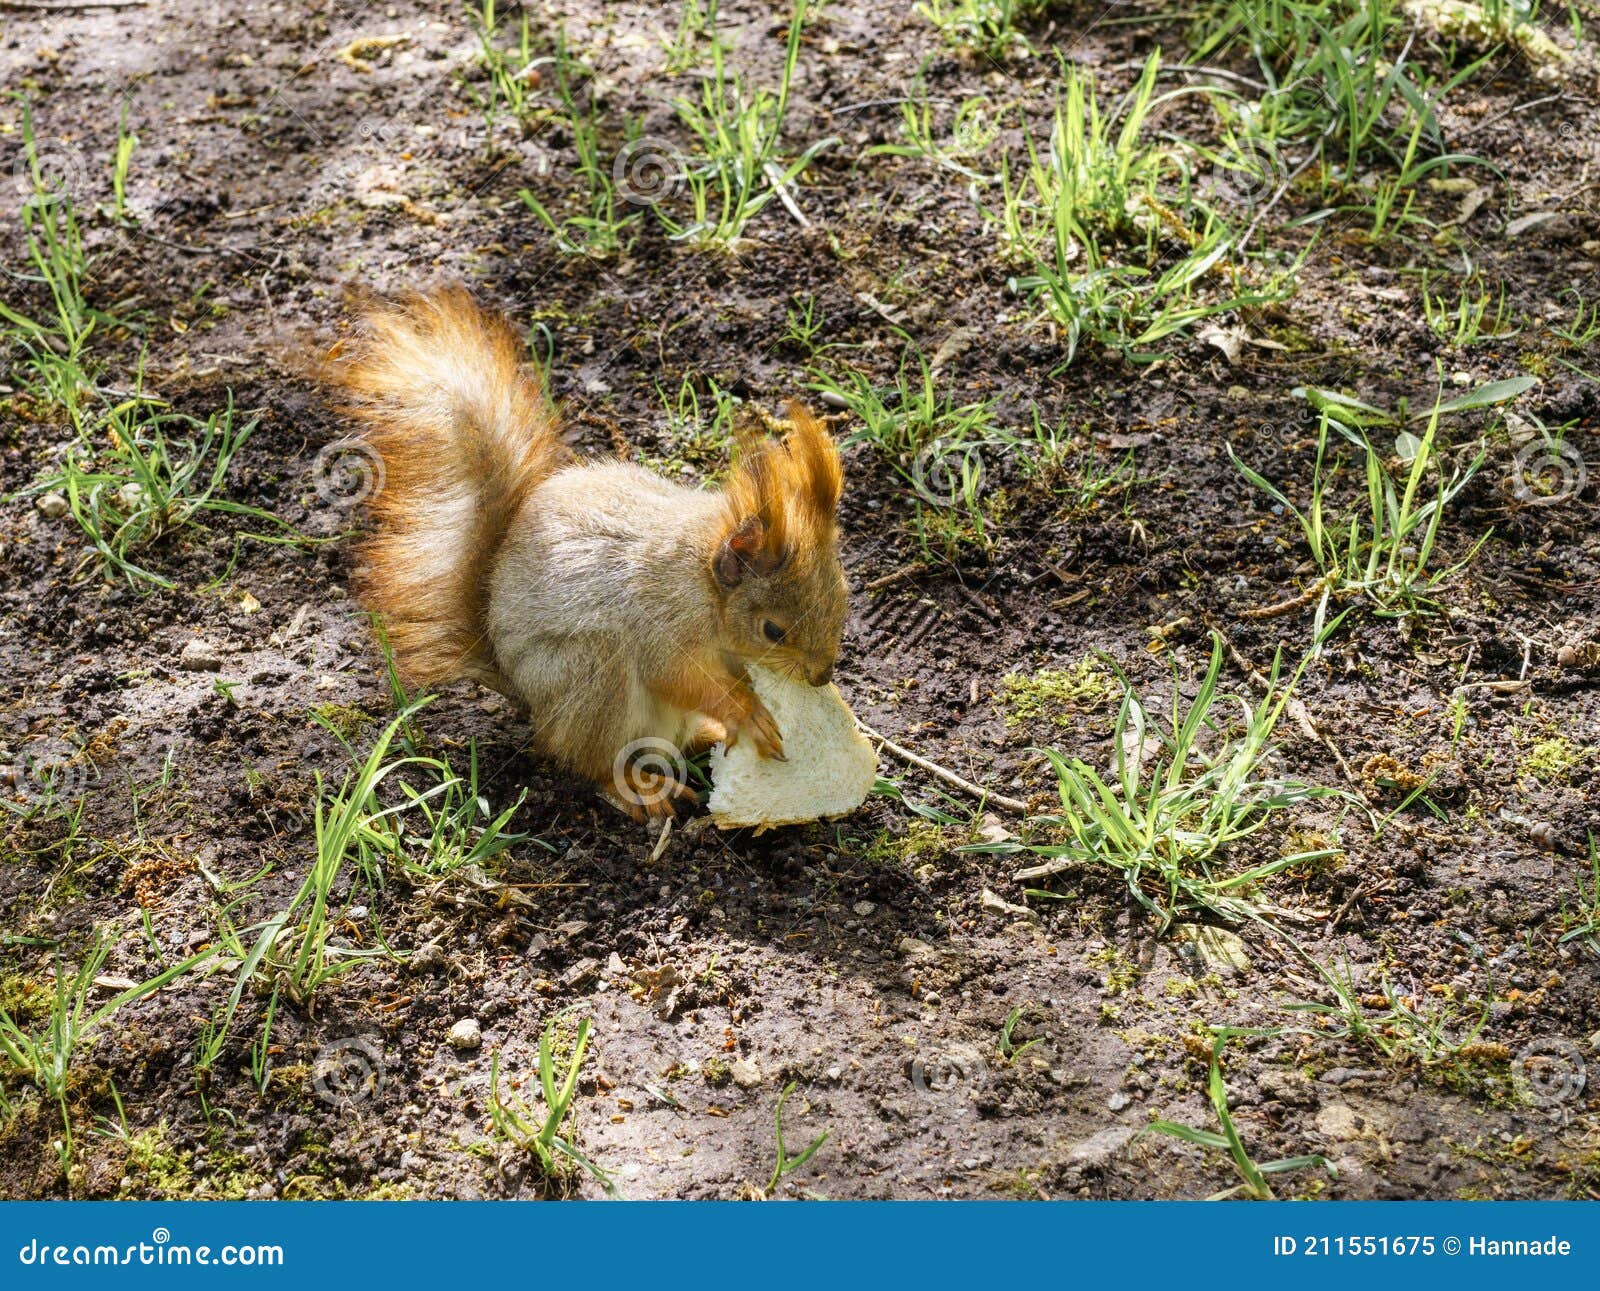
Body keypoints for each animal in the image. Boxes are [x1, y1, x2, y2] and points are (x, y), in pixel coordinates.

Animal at [324, 286, 848, 820]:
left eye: (843, 599)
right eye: (772, 630)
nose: (822, 675)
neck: (702, 582)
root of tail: (530, 701)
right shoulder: (664, 621)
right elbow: (678, 676)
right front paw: (745, 712)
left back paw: (706, 734)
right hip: (592, 676)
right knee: (590, 759)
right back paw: (637, 785)